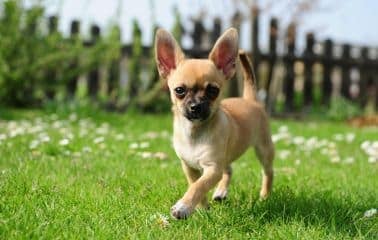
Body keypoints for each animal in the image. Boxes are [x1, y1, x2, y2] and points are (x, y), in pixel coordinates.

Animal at [154, 27, 274, 218]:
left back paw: (265, 195)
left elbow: (198, 186)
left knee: (268, 172)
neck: (195, 132)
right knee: (229, 169)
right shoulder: (189, 167)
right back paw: (221, 192)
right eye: (179, 90)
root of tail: (250, 100)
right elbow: (195, 185)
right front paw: (202, 208)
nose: (196, 106)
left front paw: (183, 206)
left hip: (264, 149)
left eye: (213, 91)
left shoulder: (212, 168)